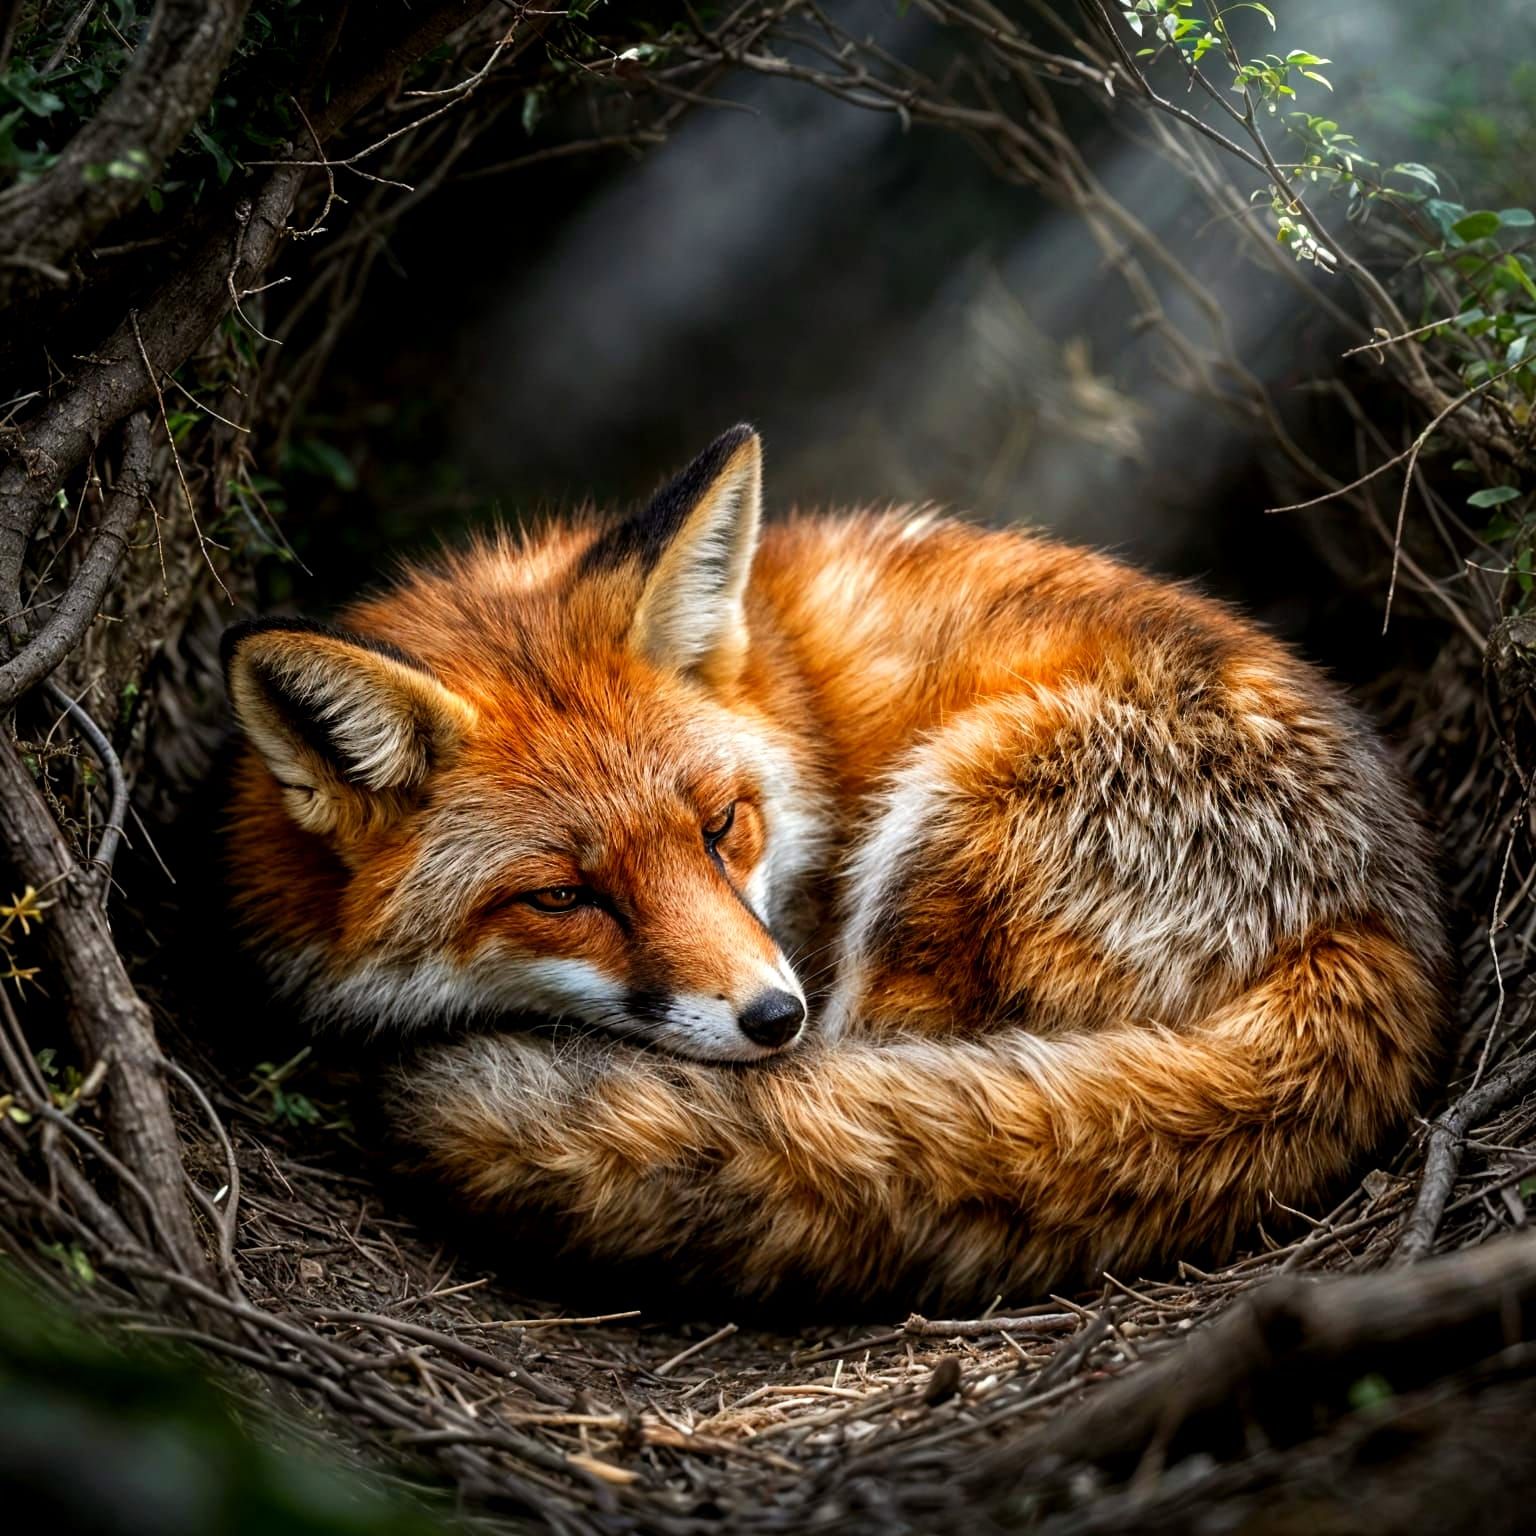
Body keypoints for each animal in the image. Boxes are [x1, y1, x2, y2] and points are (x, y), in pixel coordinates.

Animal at [221, 424, 1449, 1307]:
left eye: (720, 826)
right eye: (563, 896)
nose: (775, 1019)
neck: (788, 704)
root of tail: (1379, 919)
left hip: (942, 833)